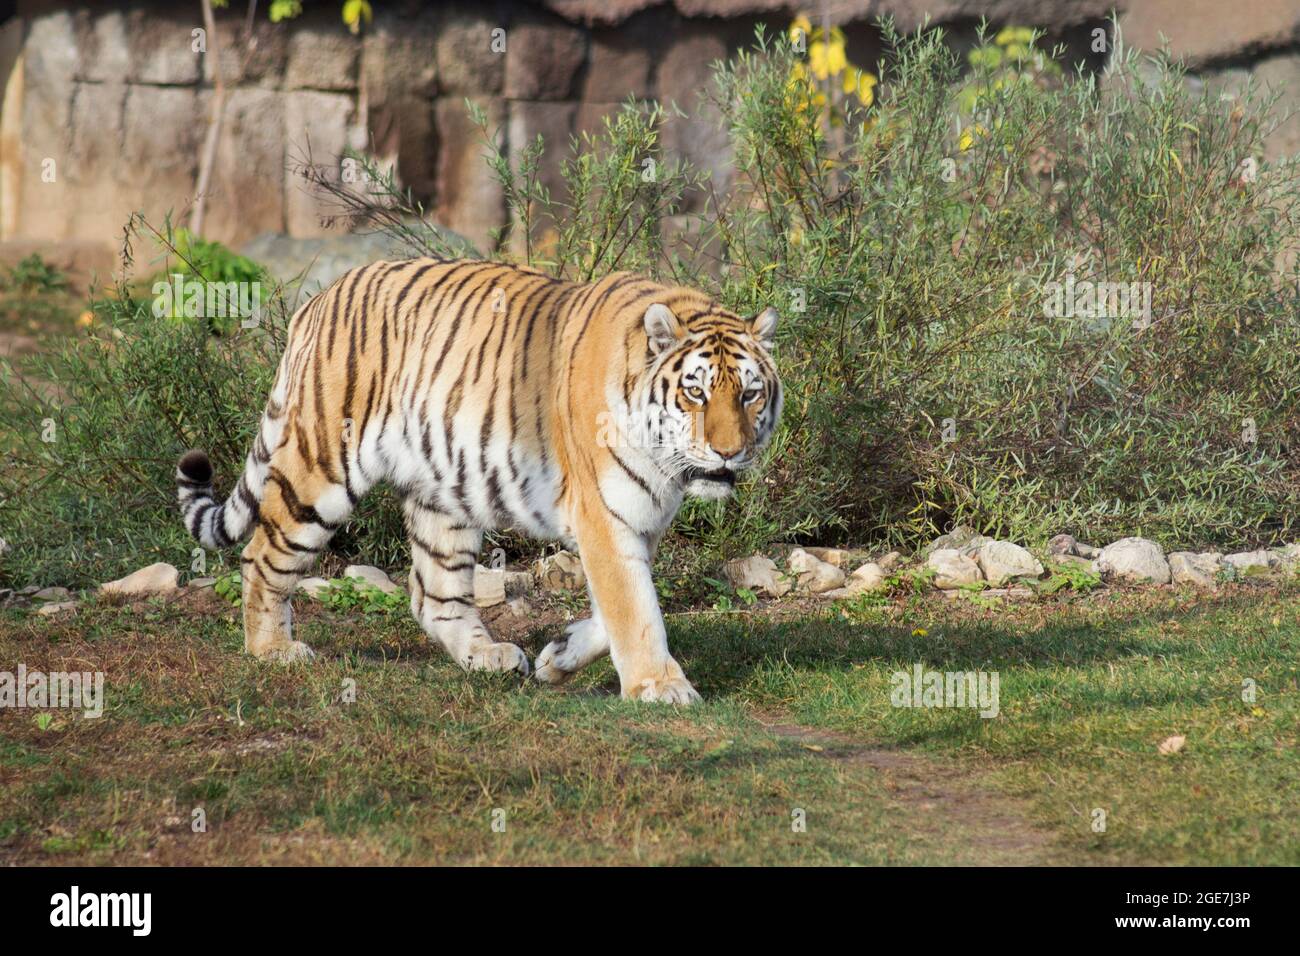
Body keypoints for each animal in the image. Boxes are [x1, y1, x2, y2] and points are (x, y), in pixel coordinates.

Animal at [172, 257, 780, 707]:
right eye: (696, 392)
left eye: (750, 394)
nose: (729, 453)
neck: (665, 468)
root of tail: (317, 301)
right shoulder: (605, 516)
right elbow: (635, 610)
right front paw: (662, 687)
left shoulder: (637, 522)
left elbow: (620, 606)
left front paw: (559, 656)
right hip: (320, 471)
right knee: (261, 554)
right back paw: (272, 649)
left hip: (443, 494)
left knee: (431, 593)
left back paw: (486, 656)